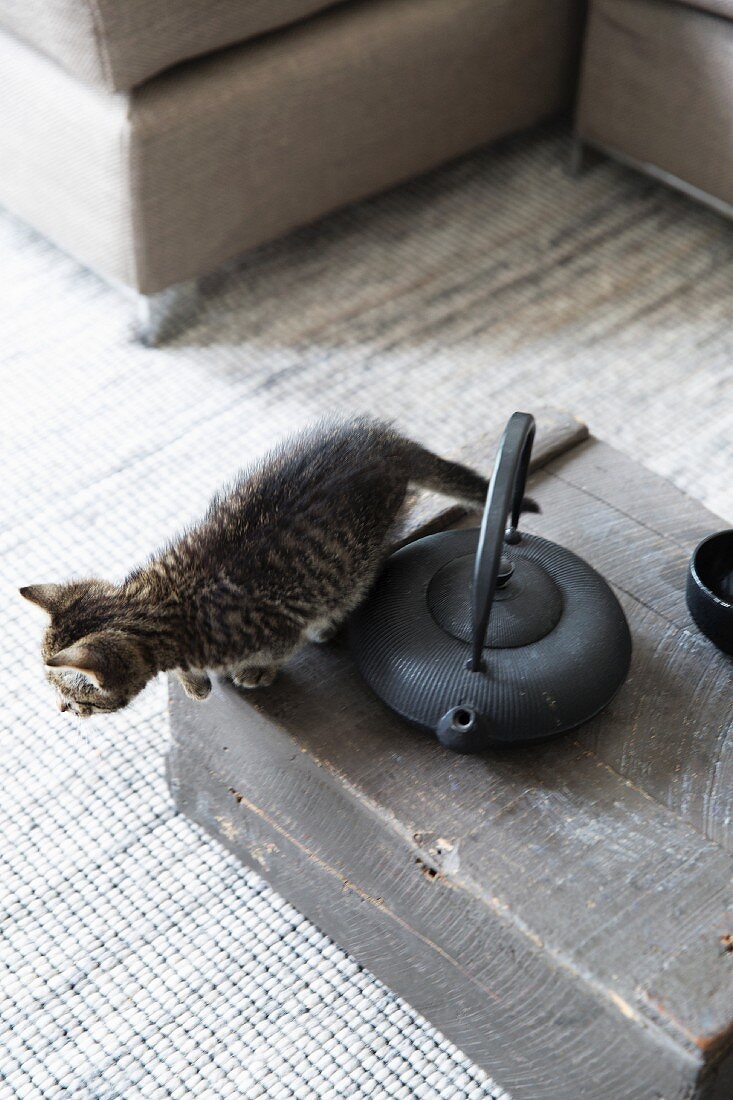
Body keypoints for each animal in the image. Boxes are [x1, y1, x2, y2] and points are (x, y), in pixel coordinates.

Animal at [21, 415, 501, 717]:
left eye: (72, 696)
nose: (62, 710)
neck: (159, 603)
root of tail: (386, 442)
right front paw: (196, 684)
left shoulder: (277, 628)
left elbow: (283, 647)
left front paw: (255, 671)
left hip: (359, 554)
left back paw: (328, 623)